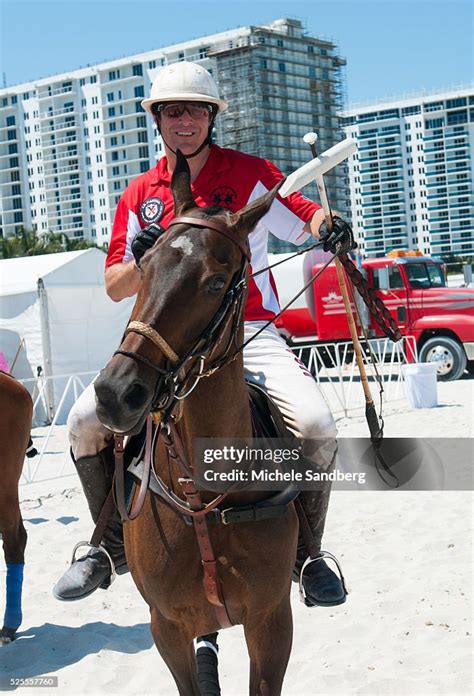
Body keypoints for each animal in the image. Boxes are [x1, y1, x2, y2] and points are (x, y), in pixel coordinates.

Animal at [94, 154, 298, 696]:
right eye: (143, 268)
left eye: (215, 282)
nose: (115, 394)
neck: (207, 494)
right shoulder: (166, 627)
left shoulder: (272, 620)